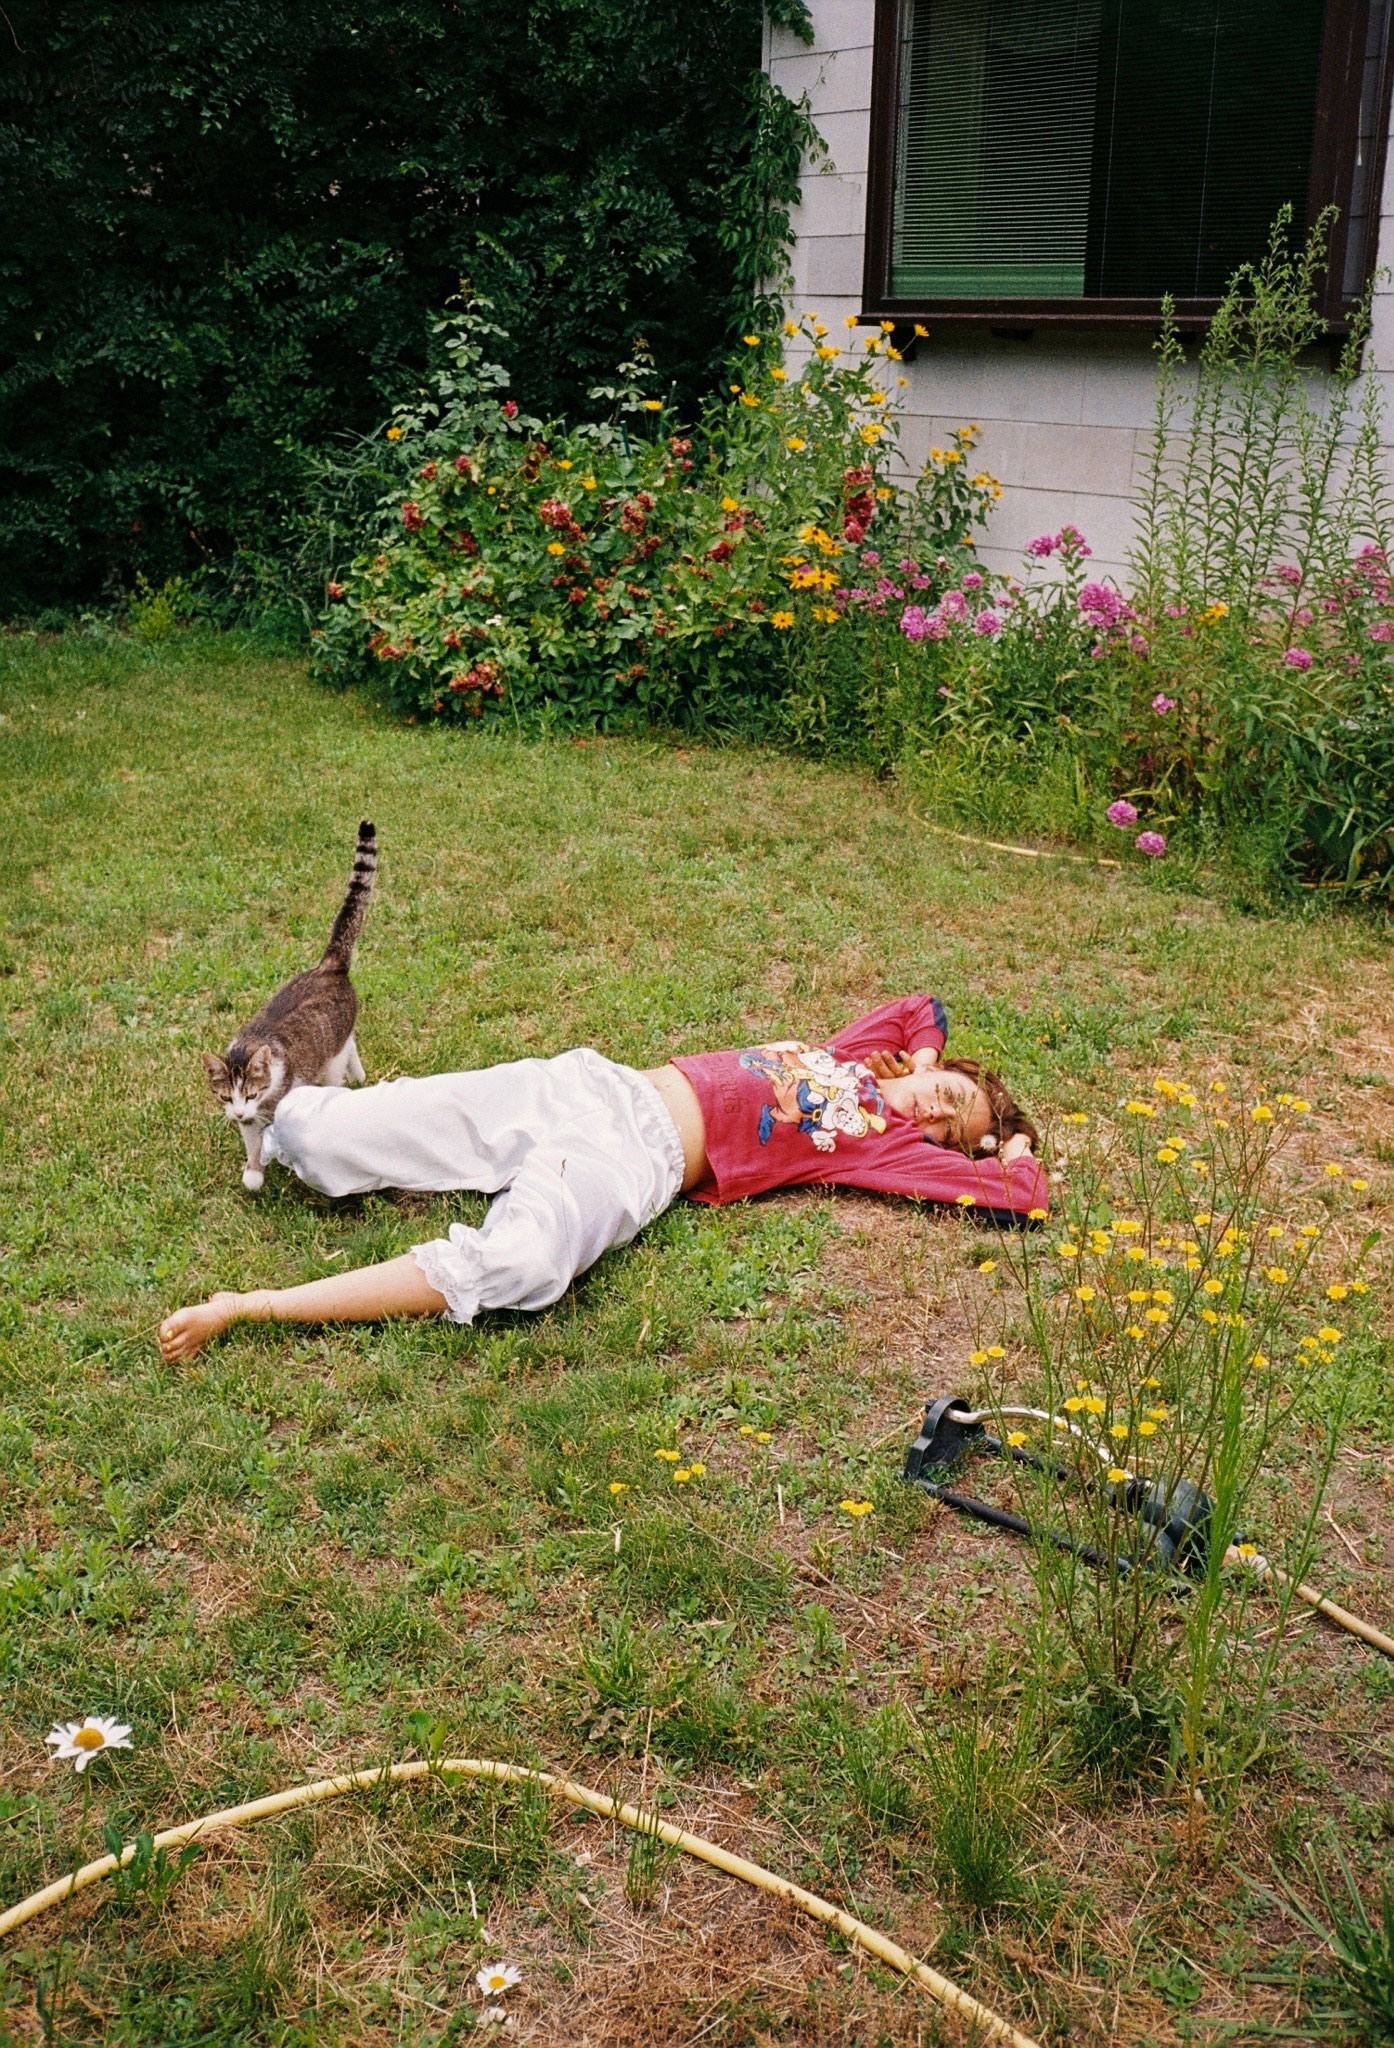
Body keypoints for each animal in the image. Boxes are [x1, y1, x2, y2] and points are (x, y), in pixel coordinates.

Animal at [201, 823, 374, 1196]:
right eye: (225, 1098)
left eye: (250, 1093)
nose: (238, 1114)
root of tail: (328, 966)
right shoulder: (249, 1120)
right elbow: (252, 1143)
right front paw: (253, 1171)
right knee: (352, 1040)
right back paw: (359, 1074)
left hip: (331, 1059)